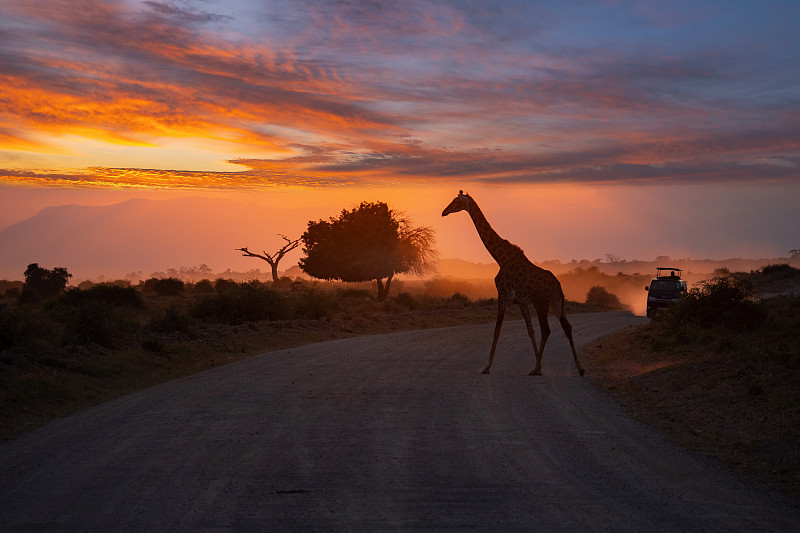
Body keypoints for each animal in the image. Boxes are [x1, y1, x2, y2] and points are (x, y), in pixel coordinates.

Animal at [440, 189, 584, 376]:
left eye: (456, 202)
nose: (444, 212)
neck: (500, 258)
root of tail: (557, 286)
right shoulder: (521, 302)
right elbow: (530, 331)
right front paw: (537, 363)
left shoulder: (503, 296)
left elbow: (497, 330)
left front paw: (487, 367)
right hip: (556, 302)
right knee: (567, 327)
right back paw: (579, 368)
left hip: (542, 303)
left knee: (546, 329)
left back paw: (537, 369)